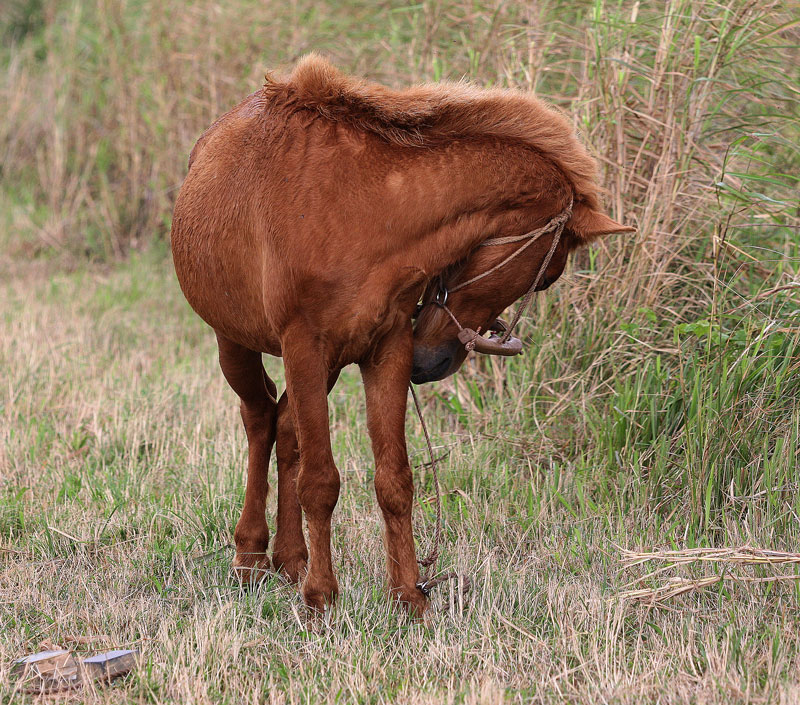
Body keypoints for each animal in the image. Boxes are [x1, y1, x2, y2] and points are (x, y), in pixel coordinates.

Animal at [172, 55, 636, 616]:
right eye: (546, 275)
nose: (432, 362)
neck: (365, 210)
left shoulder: (385, 348)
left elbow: (395, 481)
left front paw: (409, 594)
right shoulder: (305, 346)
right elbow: (321, 481)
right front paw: (323, 597)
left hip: (326, 365)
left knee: (285, 428)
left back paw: (291, 557)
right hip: (236, 343)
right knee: (260, 419)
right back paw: (251, 554)